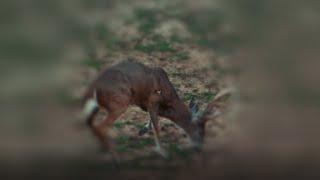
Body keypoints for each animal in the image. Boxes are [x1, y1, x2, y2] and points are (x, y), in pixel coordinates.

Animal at [81, 59, 229, 157]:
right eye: (200, 131)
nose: (199, 148)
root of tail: (93, 87)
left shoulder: (146, 103)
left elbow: (152, 121)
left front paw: (143, 130)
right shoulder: (153, 99)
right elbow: (157, 126)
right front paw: (162, 152)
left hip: (97, 107)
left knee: (91, 124)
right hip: (119, 103)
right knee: (100, 127)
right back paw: (113, 157)